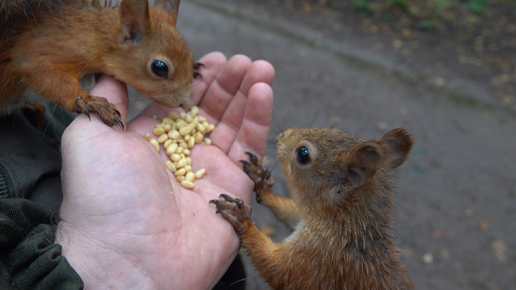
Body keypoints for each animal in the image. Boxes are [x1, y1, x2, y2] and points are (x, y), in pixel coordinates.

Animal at [0, 0, 202, 128]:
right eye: (159, 67)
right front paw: (90, 101)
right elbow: (40, 70)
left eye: (190, 56)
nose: (187, 103)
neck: (99, 38)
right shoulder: (45, 48)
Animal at [210, 127, 416, 290]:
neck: (348, 223)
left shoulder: (321, 258)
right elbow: (291, 213)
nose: (280, 135)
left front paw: (242, 220)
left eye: (303, 153)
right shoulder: (307, 216)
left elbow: (277, 269)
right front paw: (261, 180)